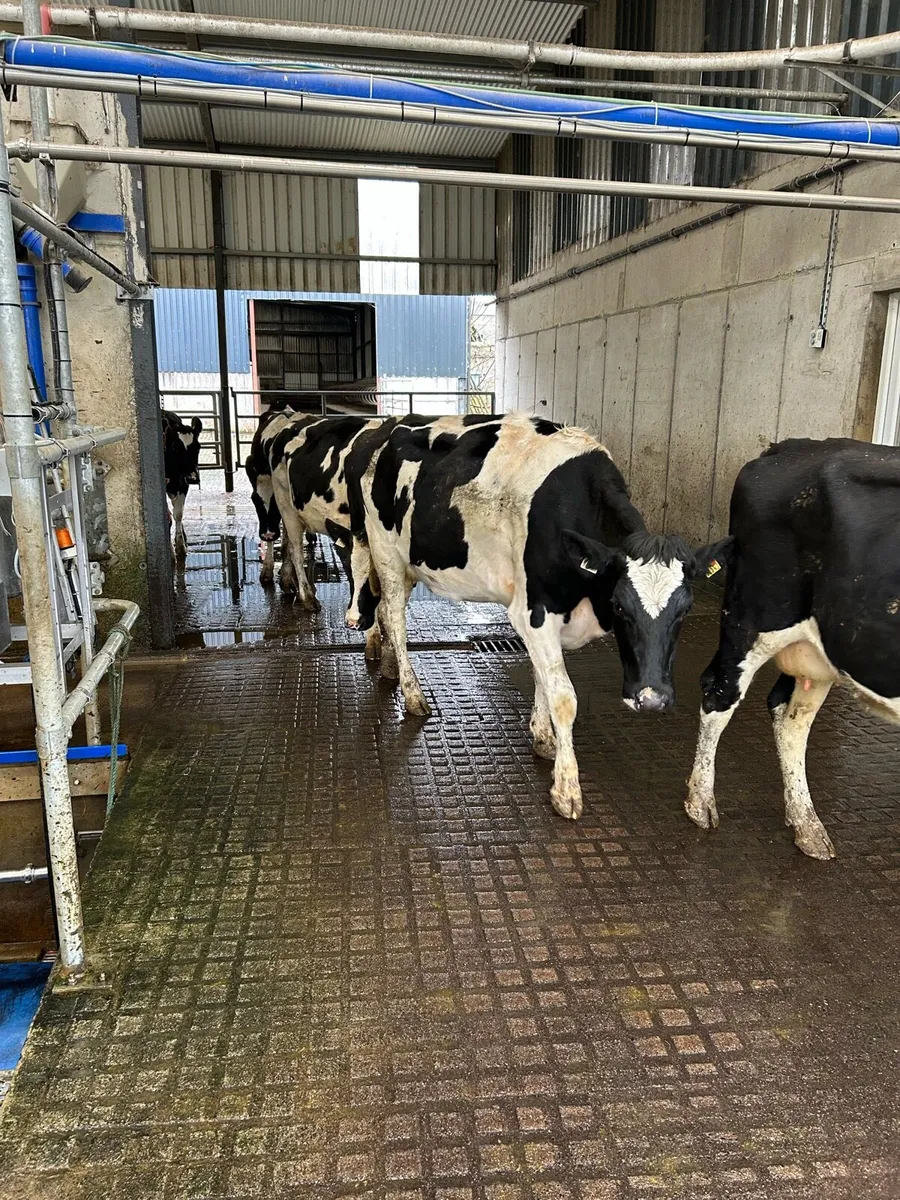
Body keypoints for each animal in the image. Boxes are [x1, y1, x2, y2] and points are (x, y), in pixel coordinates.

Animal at [161, 410, 202, 556]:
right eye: (175, 447)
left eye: (198, 447)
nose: (192, 478)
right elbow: (167, 516)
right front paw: (171, 551)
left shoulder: (183, 484)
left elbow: (178, 513)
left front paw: (180, 546)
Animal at [346, 411, 725, 820]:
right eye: (620, 605)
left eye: (686, 609)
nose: (652, 699)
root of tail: (389, 426)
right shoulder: (534, 610)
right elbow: (564, 698)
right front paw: (567, 789)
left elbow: (544, 677)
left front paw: (543, 738)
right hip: (385, 550)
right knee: (395, 618)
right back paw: (413, 695)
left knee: (386, 611)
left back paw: (389, 668)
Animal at [686, 437, 900, 860]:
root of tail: (788, 446)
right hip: (754, 616)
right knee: (719, 692)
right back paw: (701, 803)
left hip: (821, 651)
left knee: (792, 719)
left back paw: (807, 824)